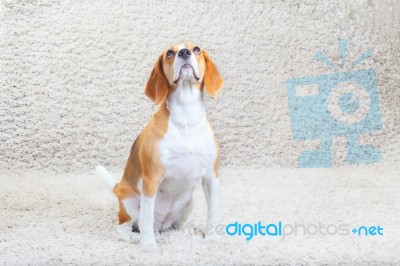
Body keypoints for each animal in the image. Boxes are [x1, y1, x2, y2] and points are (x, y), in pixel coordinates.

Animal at [95, 42, 223, 249]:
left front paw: (212, 238)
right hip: (130, 204)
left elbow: (213, 212)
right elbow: (146, 219)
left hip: (189, 203)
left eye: (196, 49)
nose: (184, 52)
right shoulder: (151, 179)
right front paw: (148, 245)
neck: (186, 116)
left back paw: (184, 230)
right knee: (126, 226)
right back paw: (133, 236)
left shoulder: (211, 177)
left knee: (173, 225)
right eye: (170, 53)